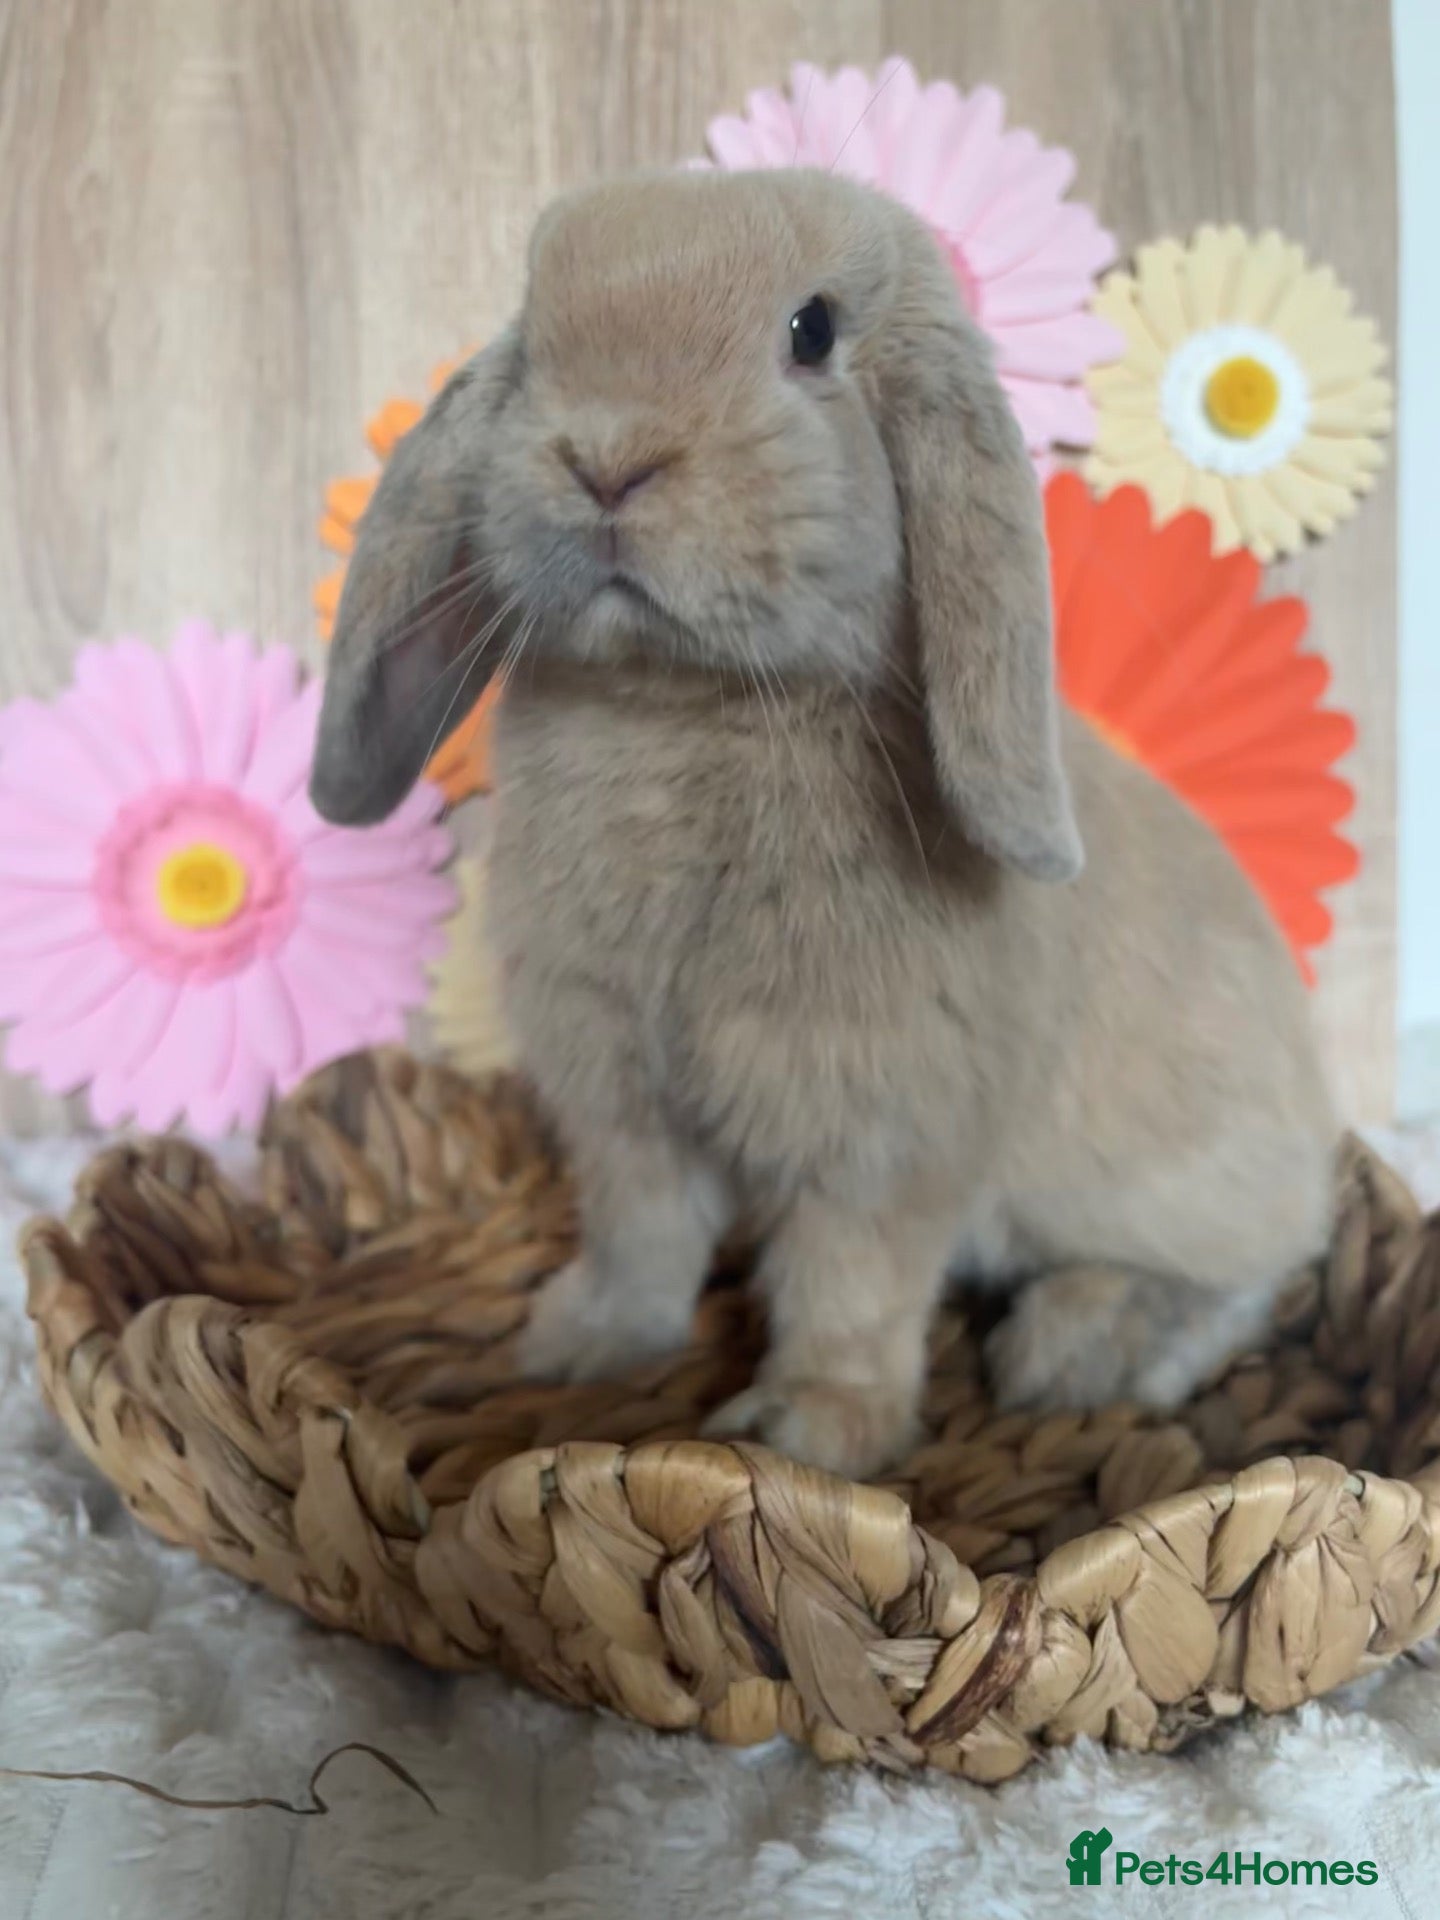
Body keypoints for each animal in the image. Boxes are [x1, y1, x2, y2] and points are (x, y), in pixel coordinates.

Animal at [310, 166, 1337, 1480]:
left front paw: (808, 1433)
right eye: (533, 337)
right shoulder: (623, 1100)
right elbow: (644, 1234)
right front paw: (582, 1342)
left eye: (813, 332)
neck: (681, 702)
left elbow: (853, 1282)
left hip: (1179, 1181)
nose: (607, 458)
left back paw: (1082, 1346)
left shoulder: (880, 1129)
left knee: (1255, 1271)